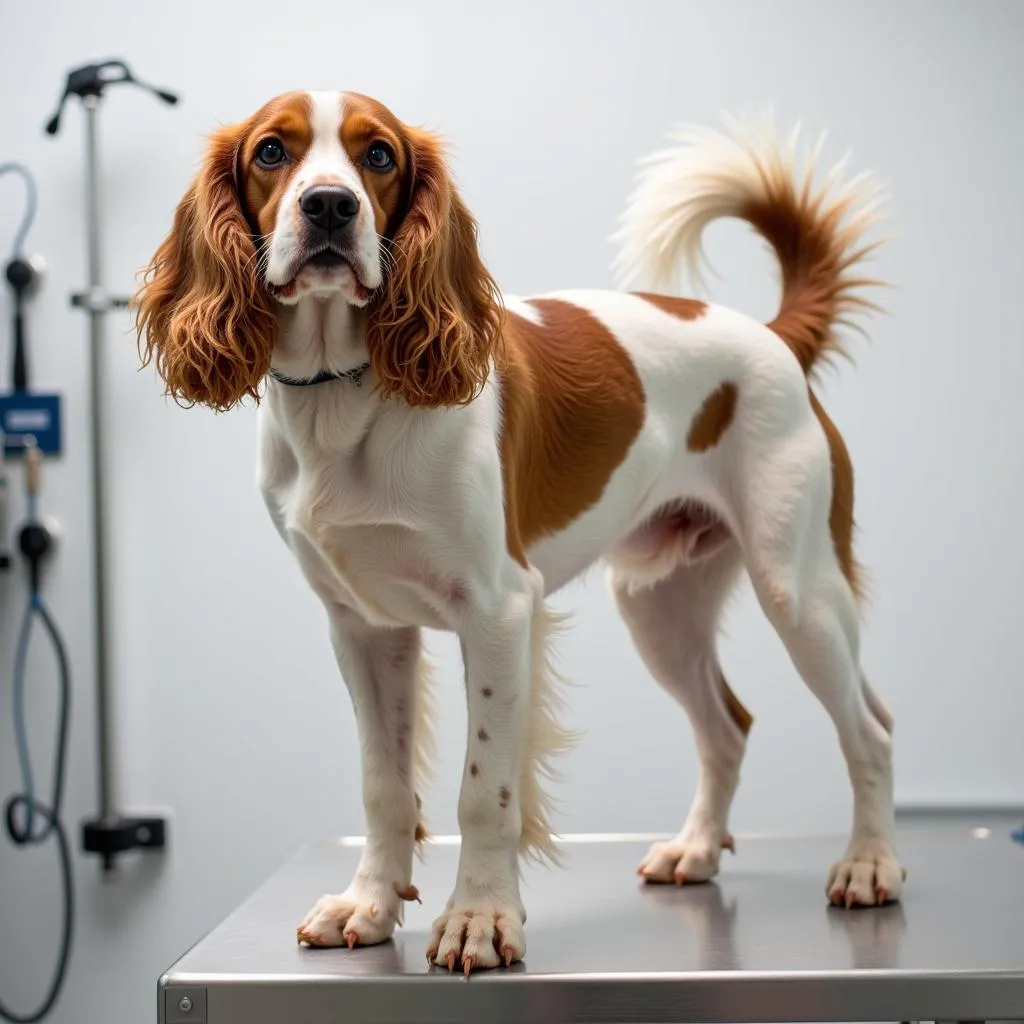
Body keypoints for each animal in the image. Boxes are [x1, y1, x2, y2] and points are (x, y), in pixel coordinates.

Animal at [134, 92, 905, 970]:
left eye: (378, 156)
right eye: (271, 151)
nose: (329, 206)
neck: (345, 397)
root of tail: (773, 336)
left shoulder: (499, 611)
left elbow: (484, 790)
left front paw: (479, 917)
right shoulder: (363, 628)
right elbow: (382, 784)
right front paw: (370, 905)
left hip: (798, 590)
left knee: (871, 731)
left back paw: (870, 865)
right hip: (662, 609)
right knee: (727, 728)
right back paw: (696, 850)